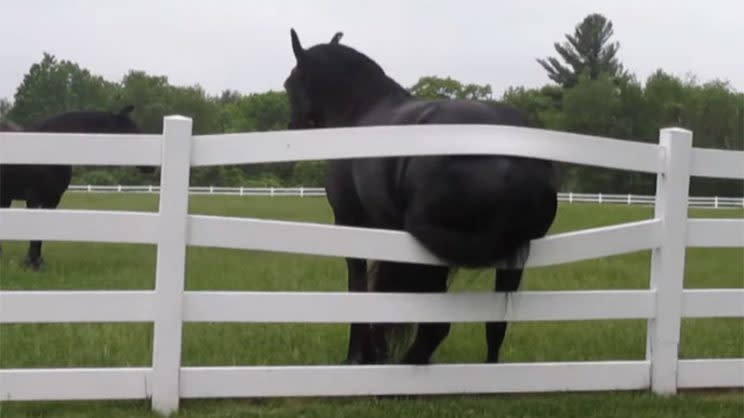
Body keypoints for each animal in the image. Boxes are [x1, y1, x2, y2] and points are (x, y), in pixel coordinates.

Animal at [0, 106, 153, 270]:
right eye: (132, 133)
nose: (152, 168)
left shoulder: (53, 199)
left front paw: (38, 262)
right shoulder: (34, 199)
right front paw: (31, 263)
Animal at [284, 28, 560, 366]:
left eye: (289, 84)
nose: (292, 129)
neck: (361, 111)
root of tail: (511, 157)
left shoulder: (351, 223)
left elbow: (360, 288)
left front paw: (358, 357)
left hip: (434, 256)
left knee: (437, 327)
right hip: (511, 260)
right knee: (495, 326)